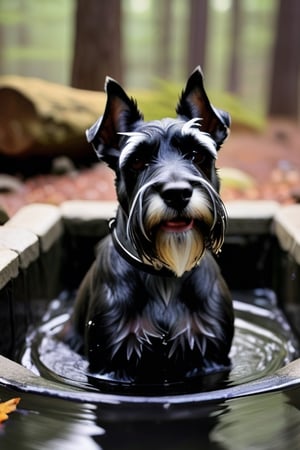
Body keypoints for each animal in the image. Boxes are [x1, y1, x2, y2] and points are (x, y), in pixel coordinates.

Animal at [67, 67, 234, 384]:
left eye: (197, 154)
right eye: (137, 161)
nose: (177, 193)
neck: (164, 276)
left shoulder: (210, 358)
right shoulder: (111, 363)